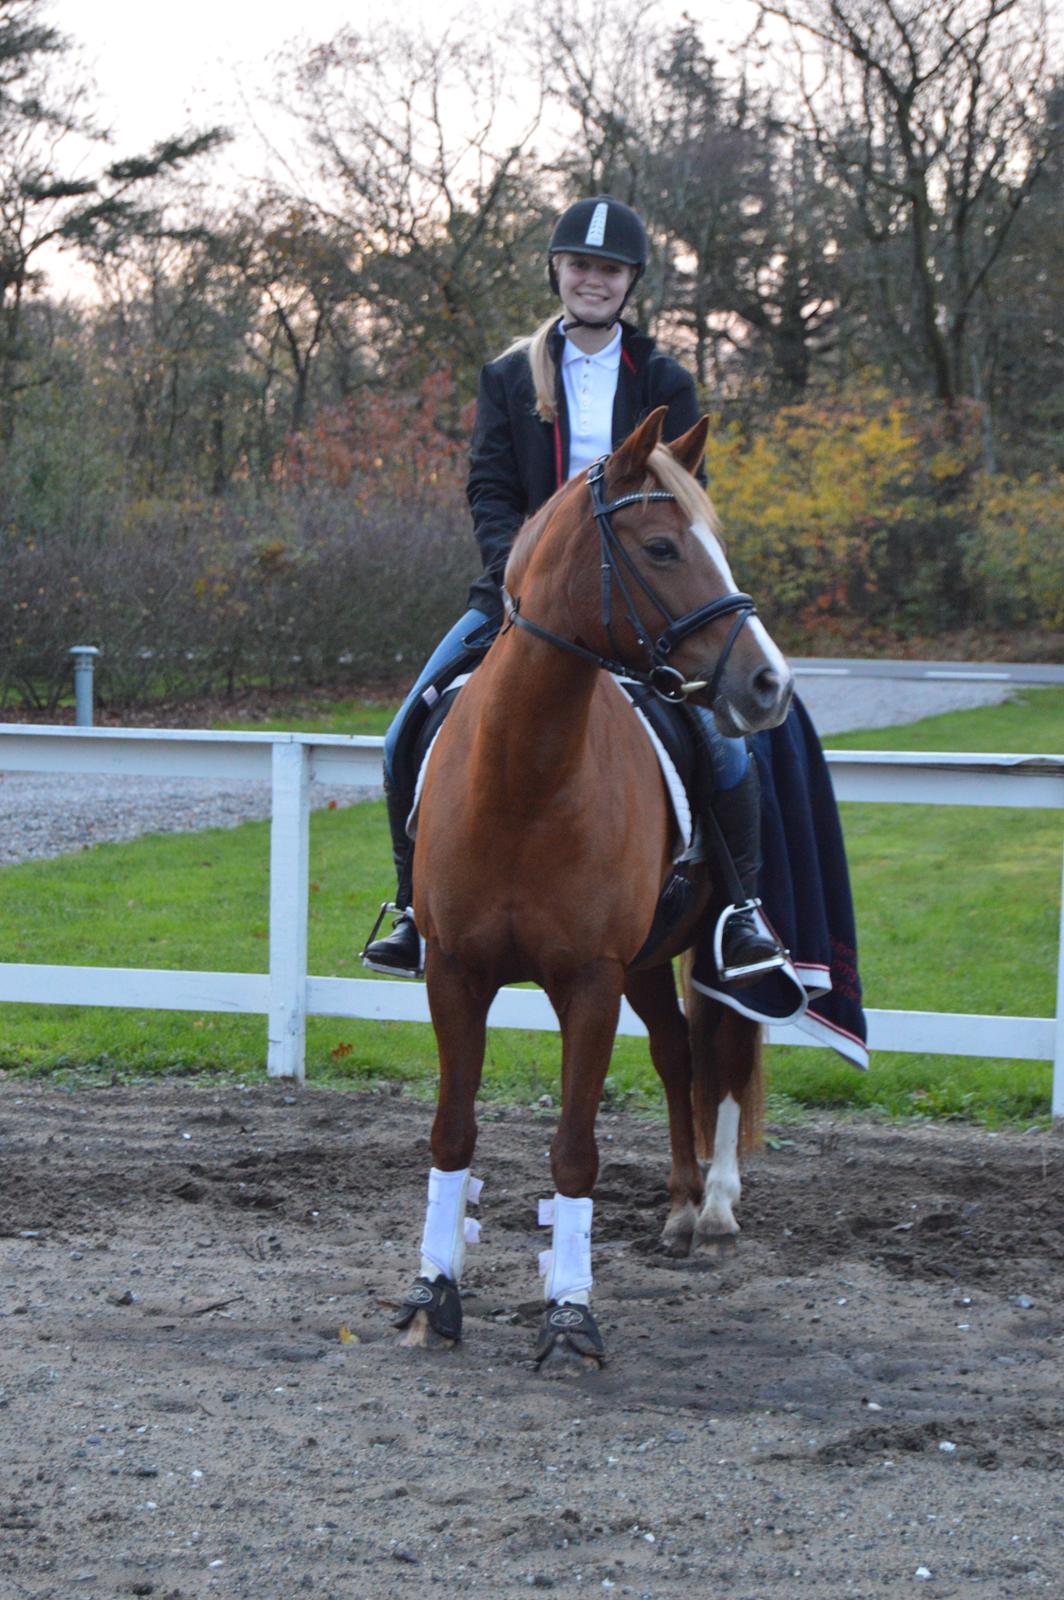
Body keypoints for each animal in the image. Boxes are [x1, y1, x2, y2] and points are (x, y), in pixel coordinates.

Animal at [393, 409, 793, 1363]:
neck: (524, 778)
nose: (769, 683)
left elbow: (576, 1150)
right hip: (647, 962)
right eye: (660, 546)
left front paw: (571, 1314)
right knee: (678, 1050)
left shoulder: (589, 980)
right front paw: (432, 1295)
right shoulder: (454, 972)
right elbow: (451, 1133)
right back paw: (682, 1206)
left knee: (722, 1049)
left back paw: (713, 1210)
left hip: (697, 953)